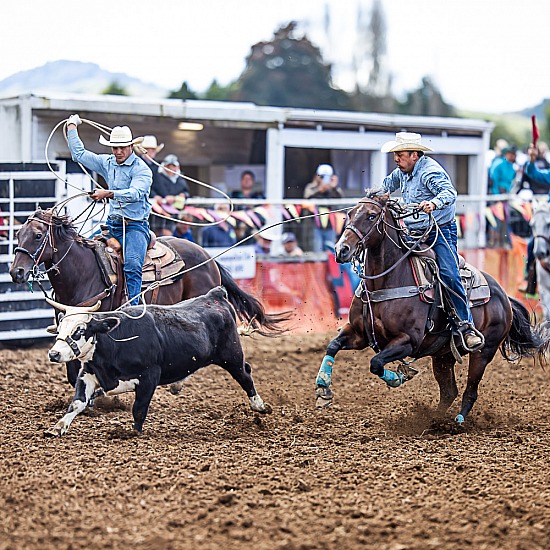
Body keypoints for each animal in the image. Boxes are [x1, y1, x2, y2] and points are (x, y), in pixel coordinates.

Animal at [10, 209, 288, 386]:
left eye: (38, 235)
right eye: (18, 234)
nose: (16, 272)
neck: (84, 272)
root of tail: (209, 257)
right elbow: (71, 367)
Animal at [46, 288, 270, 440]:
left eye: (79, 330)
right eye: (60, 327)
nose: (54, 354)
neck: (114, 341)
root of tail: (215, 296)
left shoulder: (149, 376)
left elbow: (139, 408)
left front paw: (134, 433)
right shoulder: (88, 374)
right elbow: (77, 402)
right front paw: (58, 427)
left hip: (231, 355)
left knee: (245, 375)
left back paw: (259, 405)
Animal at [314, 193, 548, 426]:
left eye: (371, 216)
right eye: (350, 213)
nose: (341, 250)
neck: (385, 282)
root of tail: (504, 297)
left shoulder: (408, 340)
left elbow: (376, 362)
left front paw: (399, 377)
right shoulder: (358, 333)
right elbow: (333, 345)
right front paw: (322, 389)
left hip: (484, 351)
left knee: (470, 391)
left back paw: (456, 422)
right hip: (443, 355)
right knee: (449, 392)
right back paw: (435, 421)